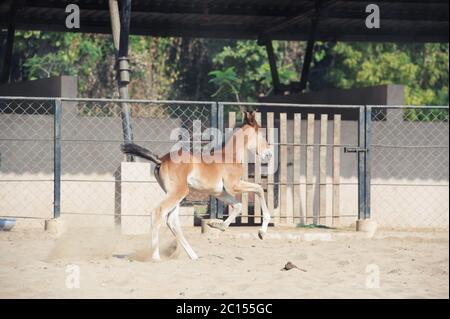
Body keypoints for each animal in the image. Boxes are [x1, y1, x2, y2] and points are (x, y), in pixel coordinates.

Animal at [121, 112, 272, 260]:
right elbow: (259, 189)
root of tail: (161, 159)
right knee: (159, 212)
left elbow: (239, 205)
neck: (230, 156)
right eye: (261, 134)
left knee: (172, 221)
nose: (268, 154)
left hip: (175, 194)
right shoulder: (233, 186)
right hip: (179, 192)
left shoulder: (219, 192)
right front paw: (262, 232)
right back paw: (156, 257)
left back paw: (193, 255)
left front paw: (217, 225)